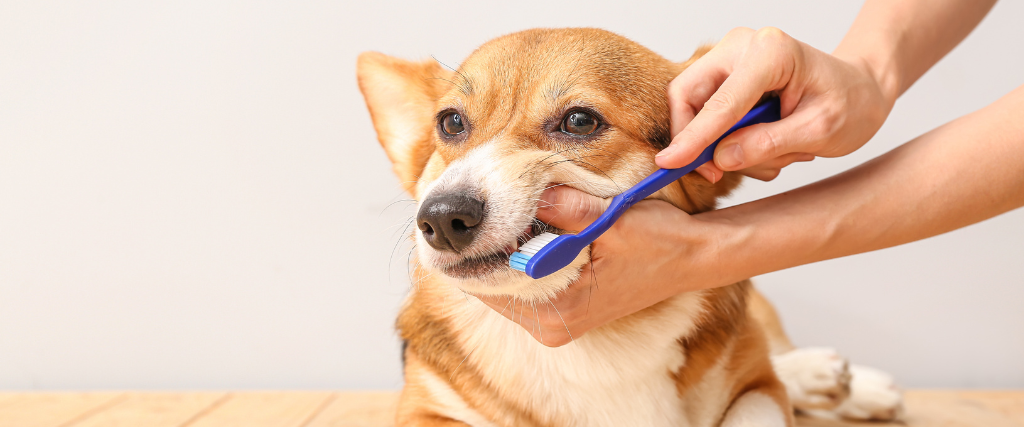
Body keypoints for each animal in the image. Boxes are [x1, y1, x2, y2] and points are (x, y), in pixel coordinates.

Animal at [356, 27, 901, 425]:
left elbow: (757, 398)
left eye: (579, 121)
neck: (594, 343)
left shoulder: (755, 388)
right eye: (450, 123)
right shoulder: (424, 409)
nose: (442, 218)